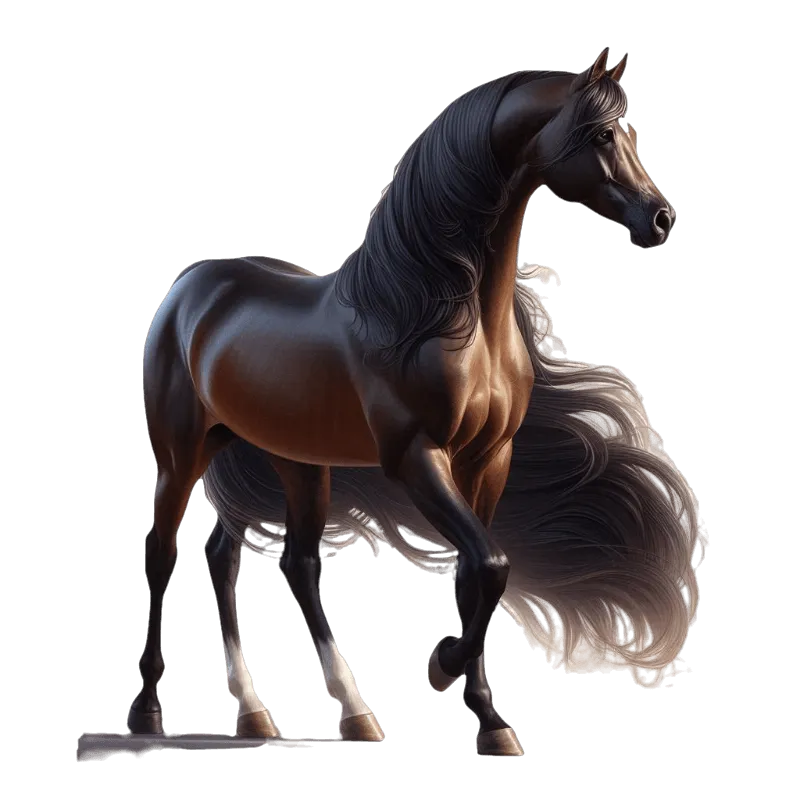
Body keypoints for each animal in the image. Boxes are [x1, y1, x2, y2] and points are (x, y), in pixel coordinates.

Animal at [137, 50, 702, 757]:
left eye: (627, 130)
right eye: (602, 134)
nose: (661, 220)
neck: (435, 314)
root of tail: (189, 289)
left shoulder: (489, 461)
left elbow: (478, 573)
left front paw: (490, 723)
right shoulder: (416, 458)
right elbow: (491, 563)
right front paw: (442, 667)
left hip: (287, 459)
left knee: (260, 558)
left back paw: (291, 716)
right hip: (183, 453)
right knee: (164, 553)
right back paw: (149, 718)